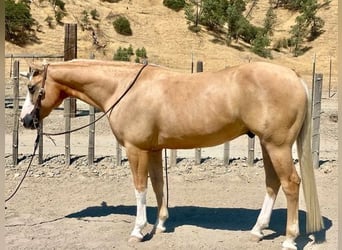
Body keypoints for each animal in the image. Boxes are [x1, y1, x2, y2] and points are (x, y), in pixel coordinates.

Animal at [20, 59, 324, 249]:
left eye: (32, 88)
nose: (25, 121)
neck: (123, 87)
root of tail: (294, 77)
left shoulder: (136, 149)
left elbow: (140, 188)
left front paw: (138, 231)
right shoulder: (153, 149)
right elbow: (158, 185)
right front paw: (160, 225)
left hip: (277, 146)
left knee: (290, 184)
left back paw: (289, 239)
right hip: (266, 144)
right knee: (273, 183)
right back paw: (257, 231)